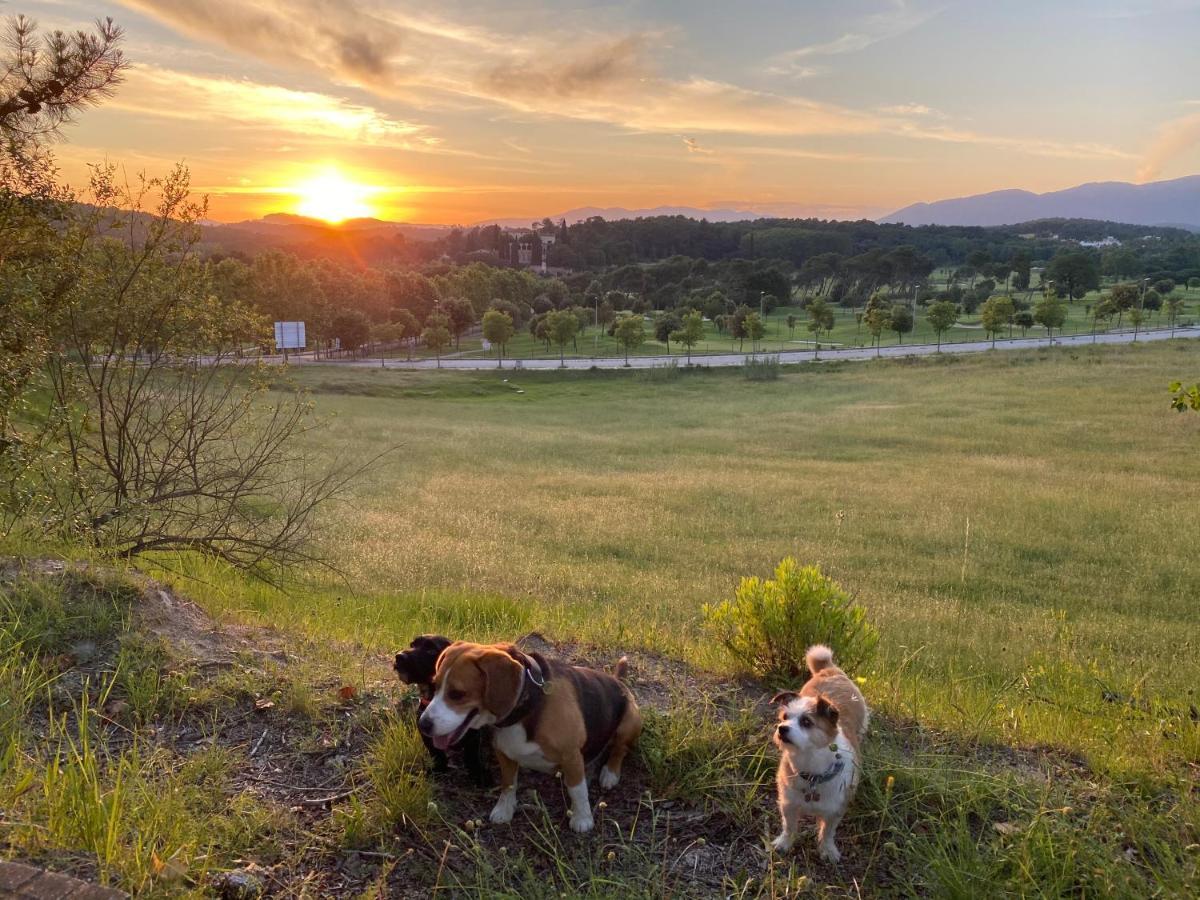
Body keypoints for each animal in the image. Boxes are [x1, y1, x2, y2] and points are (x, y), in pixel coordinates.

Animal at [391, 633, 489, 787]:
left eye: (431, 650)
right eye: (412, 644)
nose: (399, 656)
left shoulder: (472, 734)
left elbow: (472, 756)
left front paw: (478, 775)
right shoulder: (426, 733)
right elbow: (436, 753)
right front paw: (438, 769)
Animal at [417, 643, 643, 835]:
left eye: (457, 694)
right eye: (435, 685)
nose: (423, 724)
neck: (526, 705)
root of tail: (619, 681)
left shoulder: (571, 755)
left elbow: (577, 790)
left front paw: (582, 818)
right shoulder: (504, 753)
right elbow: (508, 784)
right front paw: (505, 809)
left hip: (629, 723)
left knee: (619, 750)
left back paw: (610, 773)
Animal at [768, 643, 873, 864]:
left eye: (806, 722)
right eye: (785, 716)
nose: (782, 728)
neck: (812, 771)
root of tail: (830, 670)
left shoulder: (835, 809)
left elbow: (827, 832)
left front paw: (827, 849)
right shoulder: (788, 804)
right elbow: (789, 826)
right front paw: (784, 843)